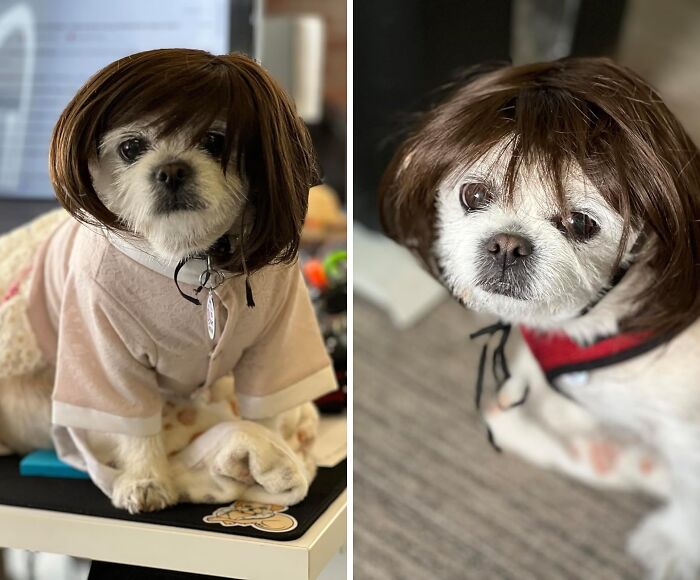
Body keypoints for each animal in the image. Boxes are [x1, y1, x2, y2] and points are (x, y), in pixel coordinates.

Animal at [0, 49, 336, 512]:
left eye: (215, 141)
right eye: (131, 148)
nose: (171, 170)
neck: (195, 260)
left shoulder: (275, 341)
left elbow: (265, 412)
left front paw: (271, 452)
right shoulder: (103, 349)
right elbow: (135, 427)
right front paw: (146, 478)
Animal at [382, 57, 700, 580]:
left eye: (581, 224)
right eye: (473, 195)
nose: (508, 244)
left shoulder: (687, 433)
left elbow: (690, 493)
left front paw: (673, 540)